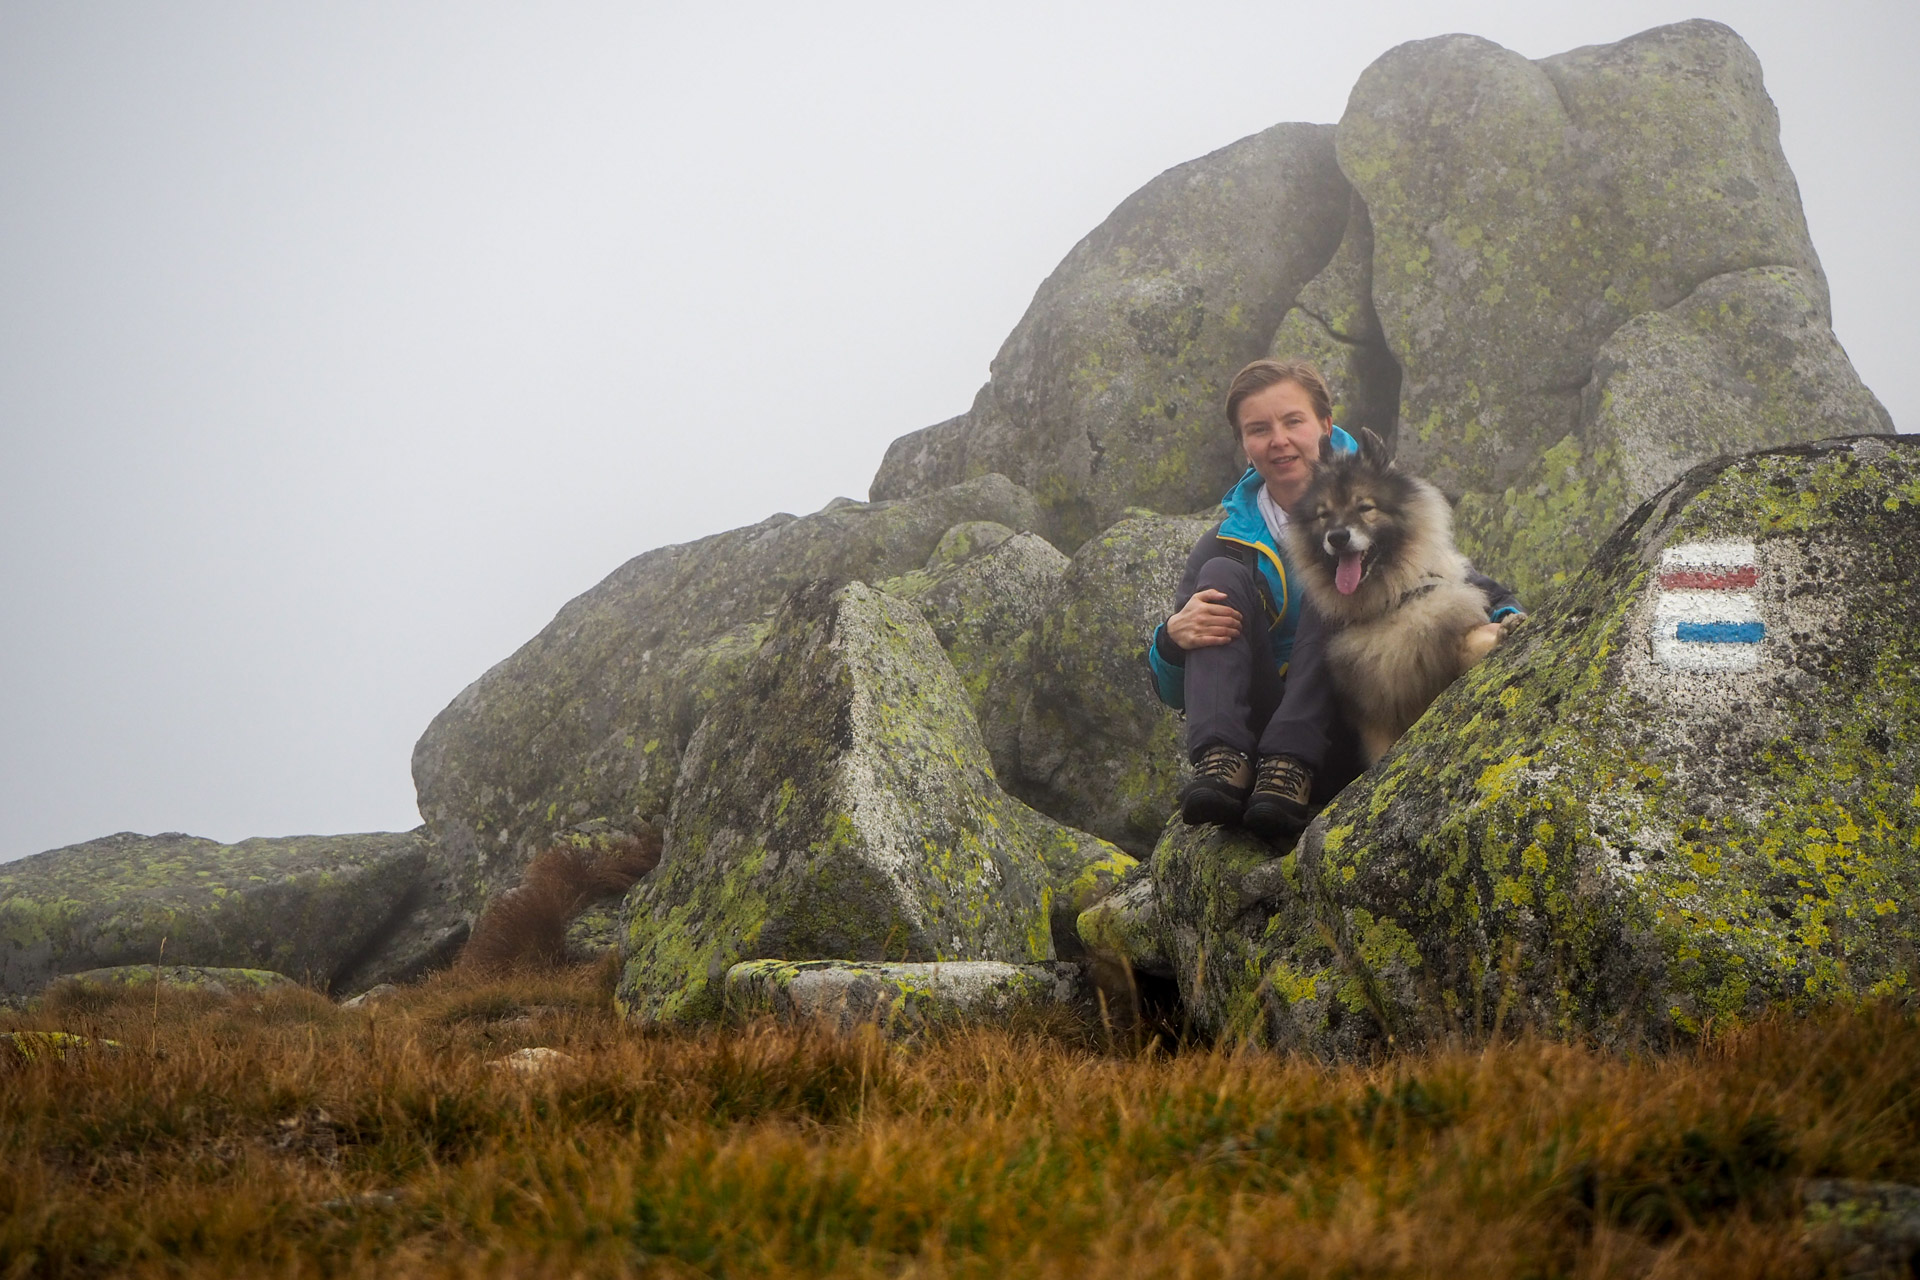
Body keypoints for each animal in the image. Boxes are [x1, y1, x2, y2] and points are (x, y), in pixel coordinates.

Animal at [1282, 429, 1505, 767]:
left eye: (1365, 507)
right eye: (1324, 515)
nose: (1337, 537)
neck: (1389, 604)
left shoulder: (1446, 633)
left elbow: (1470, 641)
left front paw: (1503, 630)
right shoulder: (1373, 717)